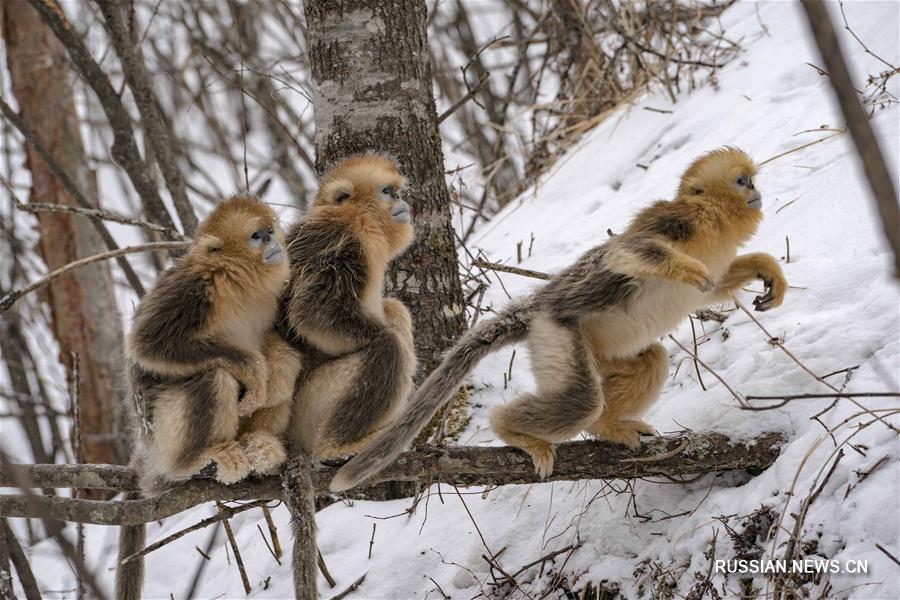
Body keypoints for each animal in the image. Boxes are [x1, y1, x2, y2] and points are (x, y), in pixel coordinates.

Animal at [278, 154, 418, 460]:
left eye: (396, 190)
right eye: (387, 192)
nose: (401, 200)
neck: (358, 219)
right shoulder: (339, 243)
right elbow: (311, 314)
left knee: (395, 309)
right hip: (307, 406)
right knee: (390, 347)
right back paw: (337, 448)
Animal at [330, 148, 788, 490]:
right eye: (741, 181)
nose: (757, 192)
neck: (713, 224)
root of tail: (536, 307)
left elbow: (715, 288)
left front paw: (769, 271)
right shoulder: (673, 221)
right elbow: (624, 252)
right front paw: (686, 268)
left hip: (599, 347)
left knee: (650, 360)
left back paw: (608, 426)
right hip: (555, 333)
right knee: (580, 398)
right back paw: (514, 430)